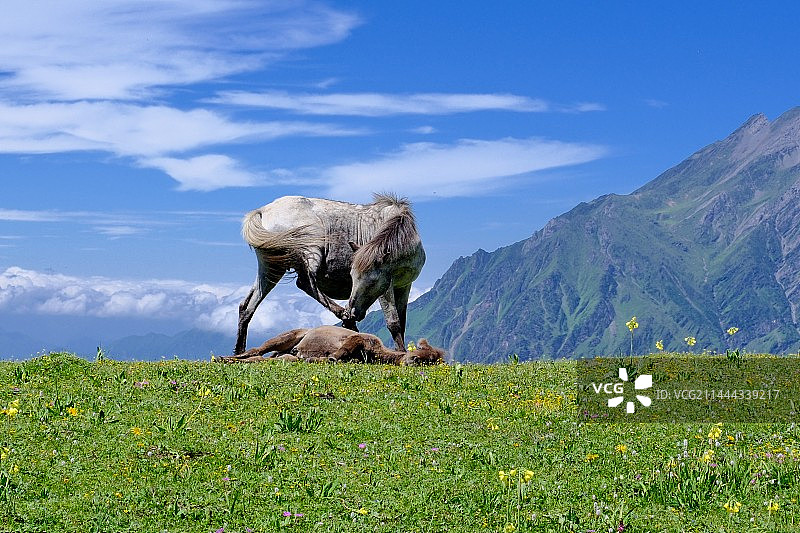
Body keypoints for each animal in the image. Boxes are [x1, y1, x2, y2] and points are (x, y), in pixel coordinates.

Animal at [235, 193, 425, 355]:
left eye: (371, 282)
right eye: (353, 277)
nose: (354, 311)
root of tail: (264, 210)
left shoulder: (404, 286)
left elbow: (402, 320)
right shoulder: (387, 287)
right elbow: (393, 322)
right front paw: (401, 353)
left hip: (271, 269)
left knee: (247, 306)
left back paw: (239, 351)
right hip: (311, 247)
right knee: (305, 282)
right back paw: (344, 315)